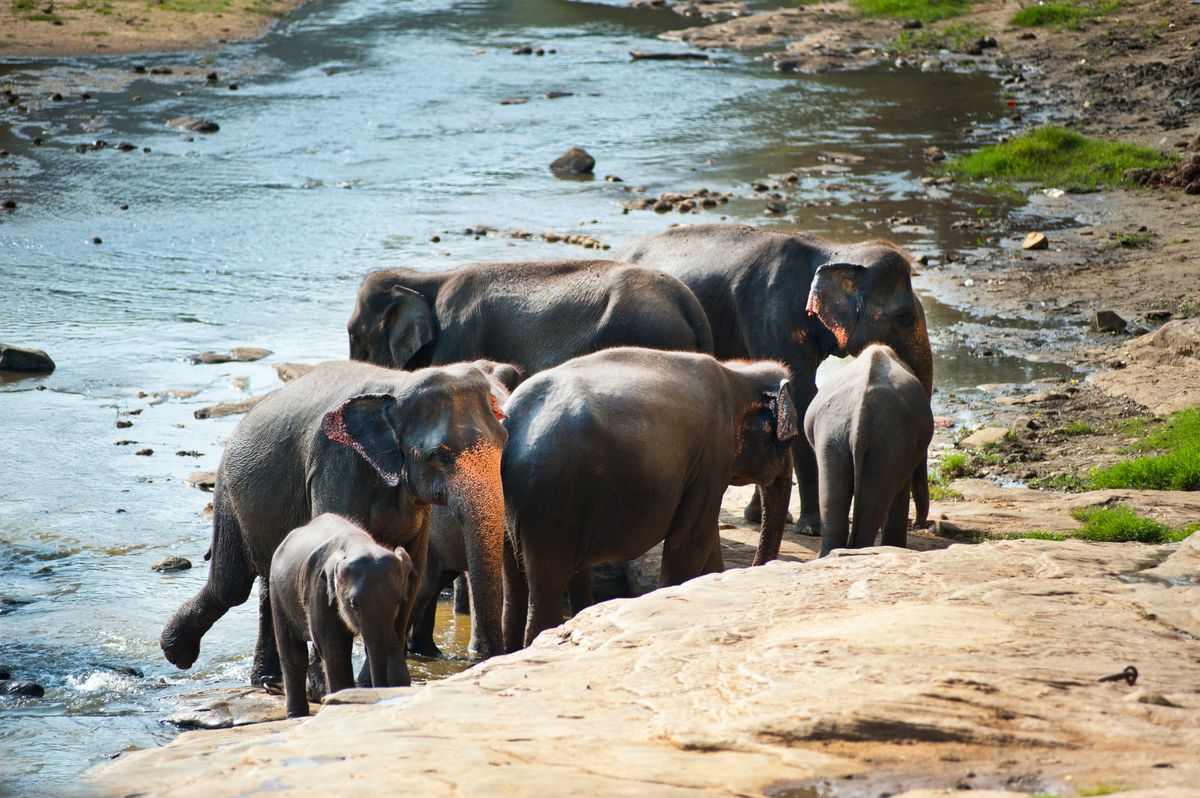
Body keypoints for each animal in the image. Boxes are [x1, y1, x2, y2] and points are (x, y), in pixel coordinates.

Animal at [160, 360, 510, 687]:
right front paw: (329, 688)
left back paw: (268, 680)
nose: (479, 659)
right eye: (439, 454)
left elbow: (412, 566)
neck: (399, 385)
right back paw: (177, 653)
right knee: (230, 586)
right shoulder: (337, 465)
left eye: (503, 440)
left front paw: (378, 683)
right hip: (229, 494)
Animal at [269, 514, 416, 717]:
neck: (359, 543)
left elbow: (392, 644)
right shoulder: (319, 590)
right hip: (278, 592)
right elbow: (334, 650)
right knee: (293, 655)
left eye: (398, 602)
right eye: (354, 604)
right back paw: (297, 715)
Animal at [501, 347, 799, 651]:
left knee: (515, 587)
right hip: (552, 507)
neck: (737, 374)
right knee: (547, 584)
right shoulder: (712, 456)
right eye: (789, 440)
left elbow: (705, 539)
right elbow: (689, 541)